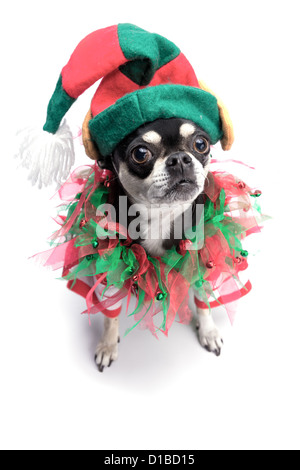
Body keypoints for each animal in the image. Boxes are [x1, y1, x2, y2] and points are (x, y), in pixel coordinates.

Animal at [93, 117, 223, 370]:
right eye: (140, 153)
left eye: (200, 144)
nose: (179, 158)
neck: (161, 216)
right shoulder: (112, 268)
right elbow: (110, 315)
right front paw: (107, 345)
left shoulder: (201, 260)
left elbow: (203, 298)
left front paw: (209, 332)